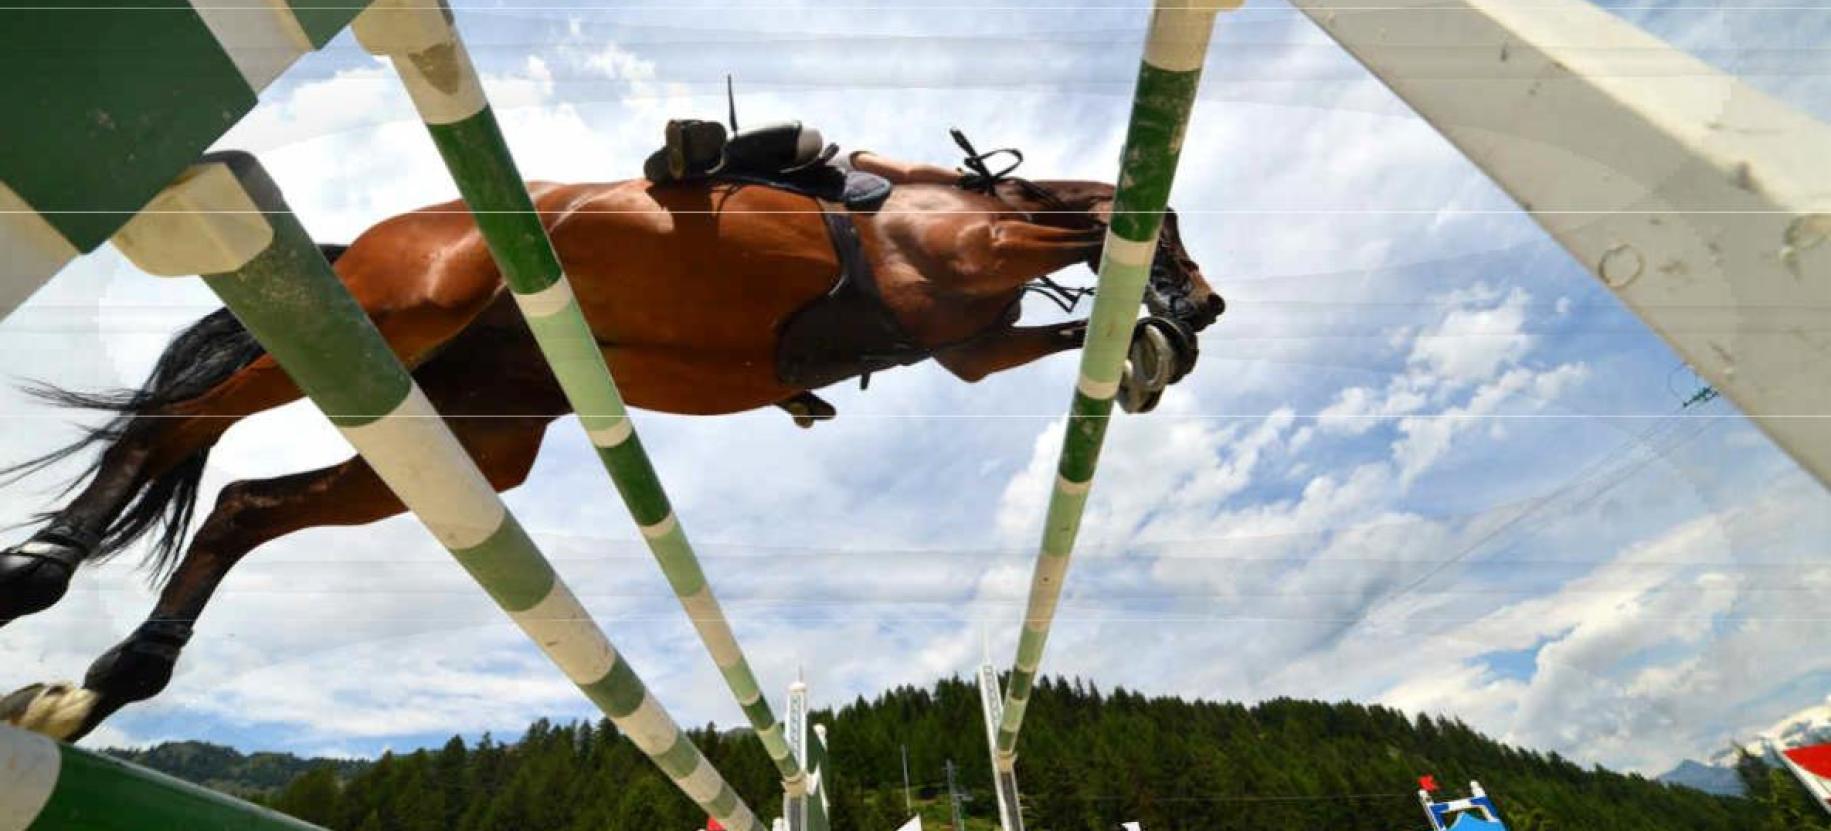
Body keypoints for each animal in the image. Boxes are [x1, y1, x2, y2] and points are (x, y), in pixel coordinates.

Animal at [3, 149, 1230, 739]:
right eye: (1180, 231)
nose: (1212, 307)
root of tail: (370, 238)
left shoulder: (965, 348)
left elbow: (1053, 316)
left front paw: (1149, 345)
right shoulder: (956, 268)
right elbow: (1081, 224)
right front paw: (1151, 314)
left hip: (470, 436)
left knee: (245, 503)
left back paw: (106, 684)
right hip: (390, 315)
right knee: (180, 425)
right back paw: (41, 571)